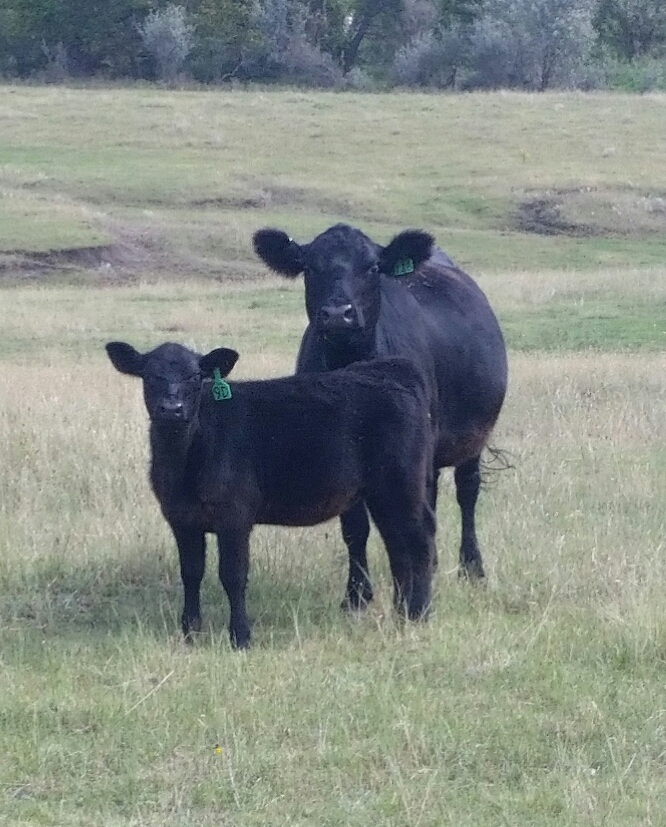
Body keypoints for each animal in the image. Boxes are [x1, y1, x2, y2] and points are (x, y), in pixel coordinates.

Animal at [104, 342, 436, 648]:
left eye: (196, 376)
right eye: (150, 375)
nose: (172, 409)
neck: (185, 459)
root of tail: (391, 368)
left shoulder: (234, 515)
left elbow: (233, 575)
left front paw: (240, 636)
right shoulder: (181, 519)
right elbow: (191, 573)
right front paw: (190, 633)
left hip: (401, 483)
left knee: (419, 541)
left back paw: (418, 614)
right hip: (382, 493)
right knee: (398, 548)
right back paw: (401, 612)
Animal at [252, 223, 506, 612]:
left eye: (372, 267)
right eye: (308, 267)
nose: (337, 313)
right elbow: (354, 526)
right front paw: (356, 595)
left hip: (472, 437)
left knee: (467, 492)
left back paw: (471, 567)